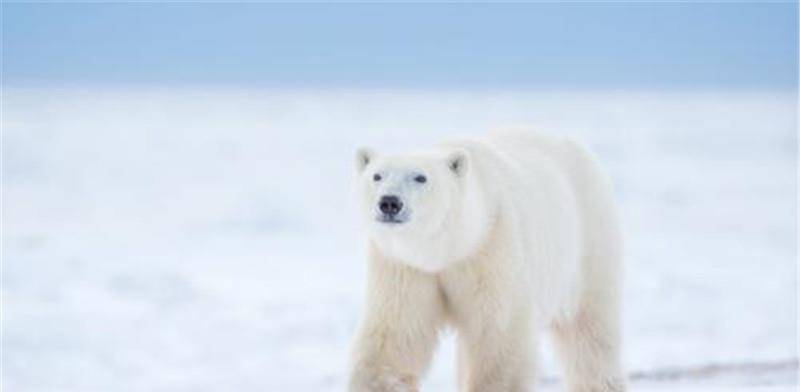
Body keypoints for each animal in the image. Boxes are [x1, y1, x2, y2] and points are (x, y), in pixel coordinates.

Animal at [350, 132, 624, 392]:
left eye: (420, 177)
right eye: (377, 176)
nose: (389, 202)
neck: (449, 249)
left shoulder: (493, 249)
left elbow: (498, 334)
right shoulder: (404, 267)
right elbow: (396, 335)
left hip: (588, 243)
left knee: (590, 333)